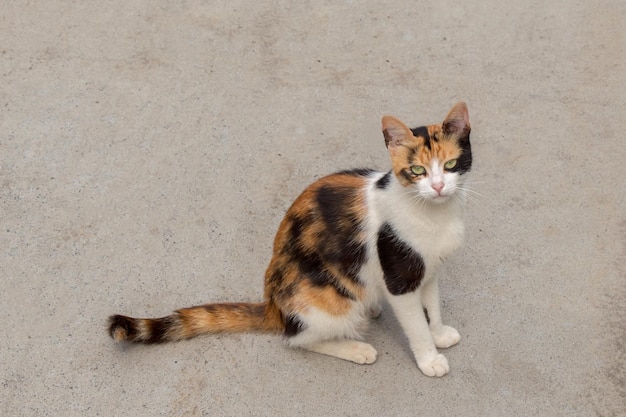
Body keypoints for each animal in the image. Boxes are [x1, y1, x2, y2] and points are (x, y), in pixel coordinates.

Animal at [108, 101, 468, 376]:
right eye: (417, 171)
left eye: (450, 164)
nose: (438, 187)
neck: (433, 215)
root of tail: (273, 306)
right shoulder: (399, 276)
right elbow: (416, 324)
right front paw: (430, 359)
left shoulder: (428, 269)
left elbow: (431, 306)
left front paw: (439, 333)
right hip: (328, 298)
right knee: (297, 338)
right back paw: (355, 348)